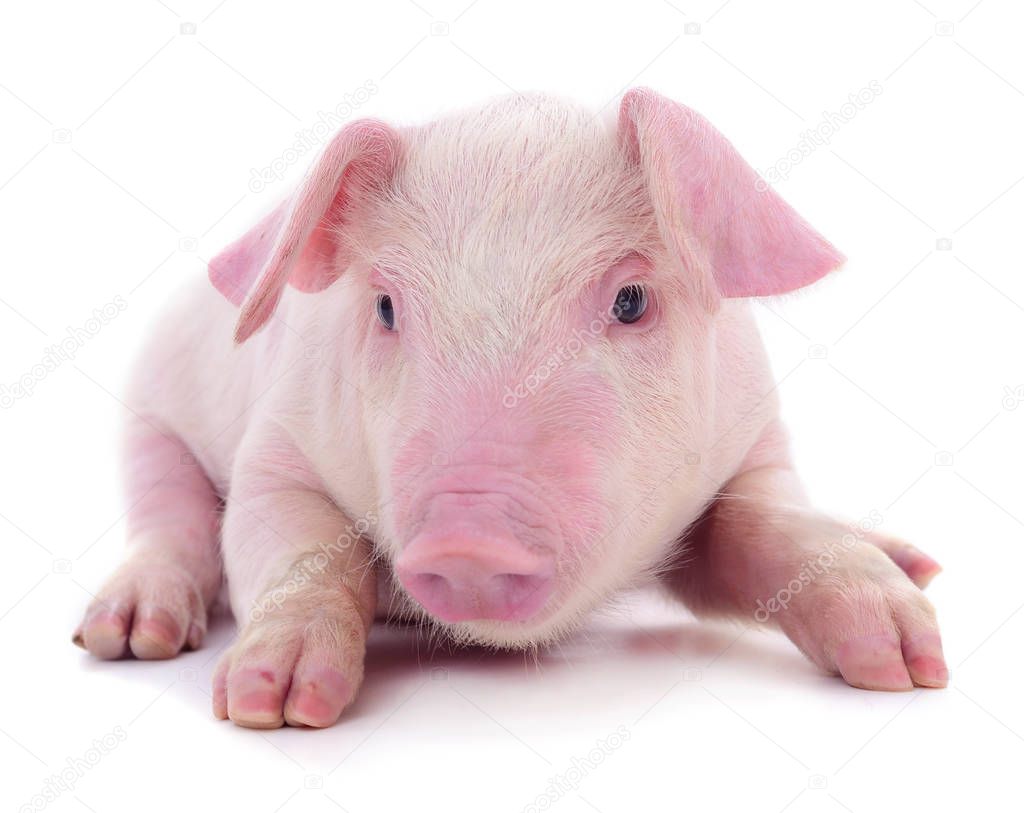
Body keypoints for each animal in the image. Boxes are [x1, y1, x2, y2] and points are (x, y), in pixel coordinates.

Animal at [75, 90, 946, 729]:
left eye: (632, 300)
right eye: (386, 306)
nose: (468, 534)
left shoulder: (753, 438)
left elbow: (768, 523)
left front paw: (911, 666)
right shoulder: (278, 445)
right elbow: (299, 545)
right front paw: (270, 706)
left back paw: (912, 565)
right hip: (148, 416)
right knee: (168, 514)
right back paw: (126, 635)